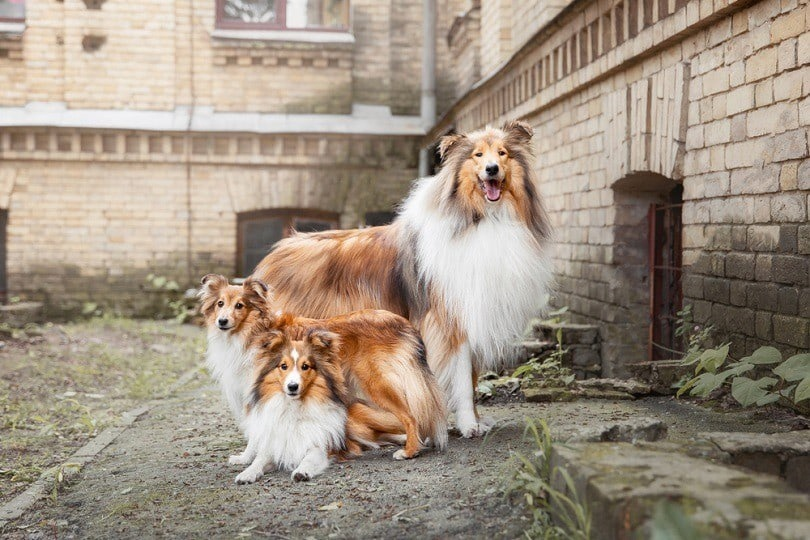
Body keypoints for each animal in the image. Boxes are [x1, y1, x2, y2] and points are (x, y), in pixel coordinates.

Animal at [252, 120, 548, 436]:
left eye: (503, 153)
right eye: (477, 155)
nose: (492, 169)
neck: (483, 218)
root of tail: (277, 252)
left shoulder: (475, 315)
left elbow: (470, 377)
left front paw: (477, 421)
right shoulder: (450, 323)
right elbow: (462, 380)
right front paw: (469, 425)